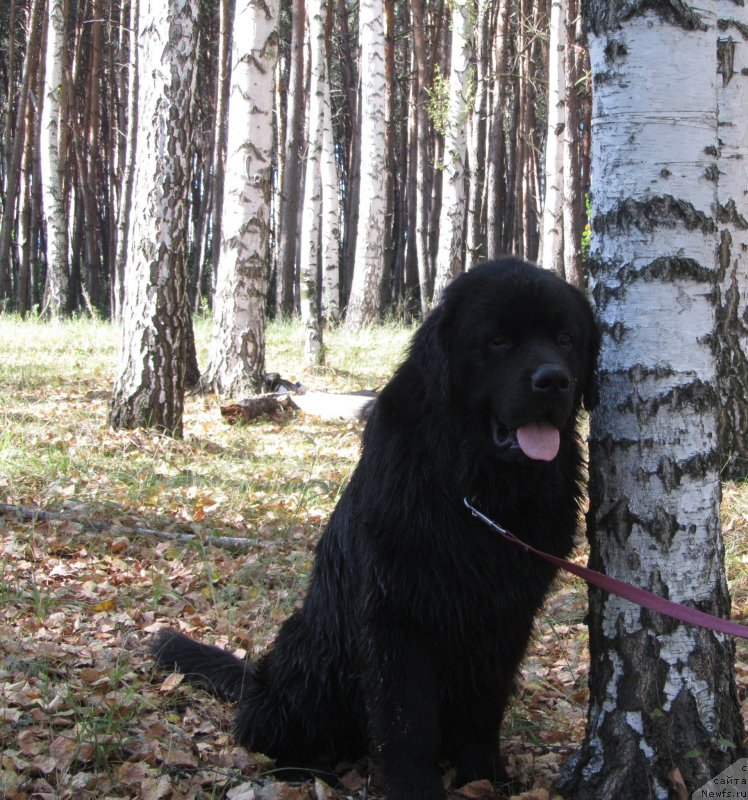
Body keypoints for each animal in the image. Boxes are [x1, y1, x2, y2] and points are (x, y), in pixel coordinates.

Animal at [153, 260, 600, 796]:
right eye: (497, 340)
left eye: (566, 338)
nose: (553, 381)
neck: (477, 489)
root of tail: (259, 676)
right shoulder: (397, 613)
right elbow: (407, 719)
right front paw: (415, 788)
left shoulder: (507, 614)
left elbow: (484, 707)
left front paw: (486, 778)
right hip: (317, 656)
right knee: (265, 728)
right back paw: (302, 770)